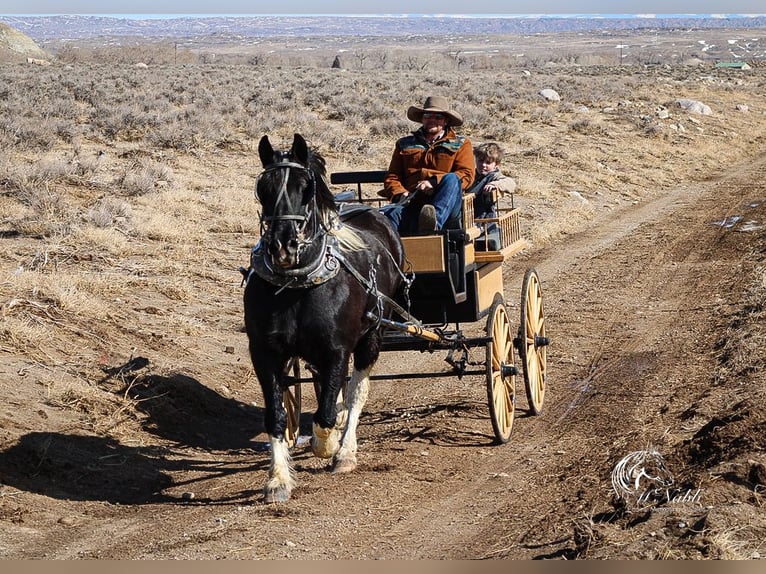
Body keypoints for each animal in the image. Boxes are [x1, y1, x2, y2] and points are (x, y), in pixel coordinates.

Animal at [244, 133, 408, 502]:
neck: (297, 284)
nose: (282, 246)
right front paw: (278, 479)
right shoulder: (265, 353)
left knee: (357, 391)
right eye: (263, 187)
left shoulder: (337, 350)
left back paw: (346, 451)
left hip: (372, 336)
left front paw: (330, 445)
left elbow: (326, 415)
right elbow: (276, 416)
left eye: (306, 187)